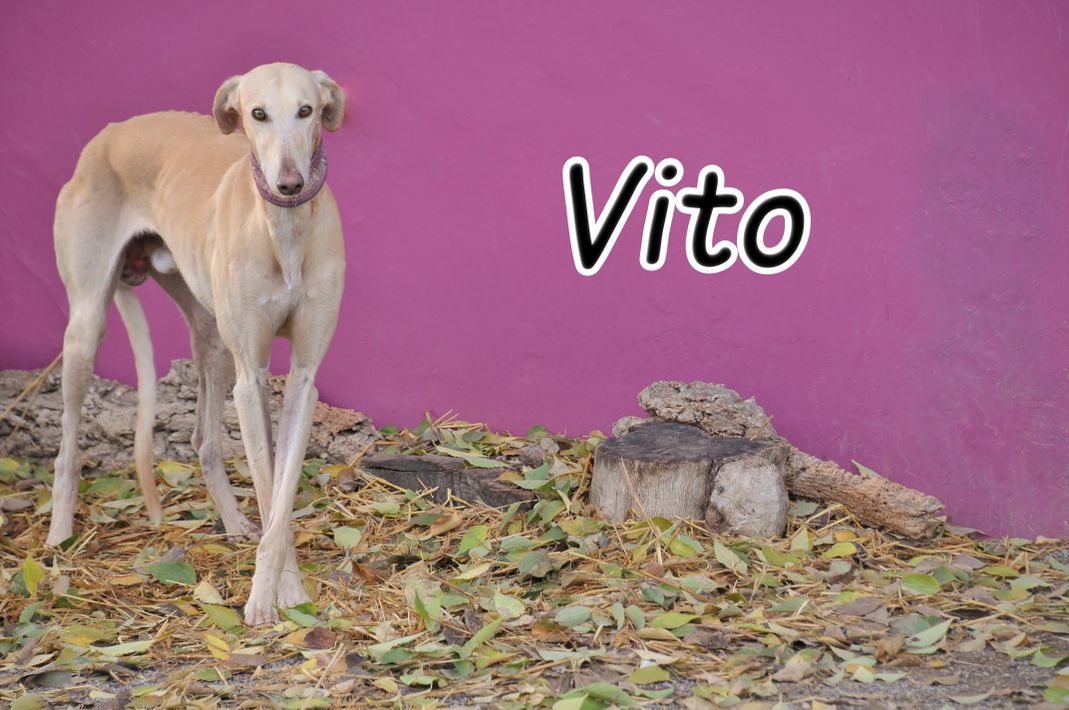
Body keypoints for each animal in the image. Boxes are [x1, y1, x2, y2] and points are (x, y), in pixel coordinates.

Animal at [47, 63, 347, 625]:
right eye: (257, 113)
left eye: (306, 110)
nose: (289, 184)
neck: (283, 230)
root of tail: (109, 134)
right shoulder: (251, 379)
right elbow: (269, 488)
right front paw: (268, 599)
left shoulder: (302, 380)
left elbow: (280, 497)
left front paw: (287, 592)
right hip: (86, 326)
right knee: (66, 449)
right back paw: (58, 537)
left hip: (210, 335)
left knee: (204, 441)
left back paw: (233, 523)